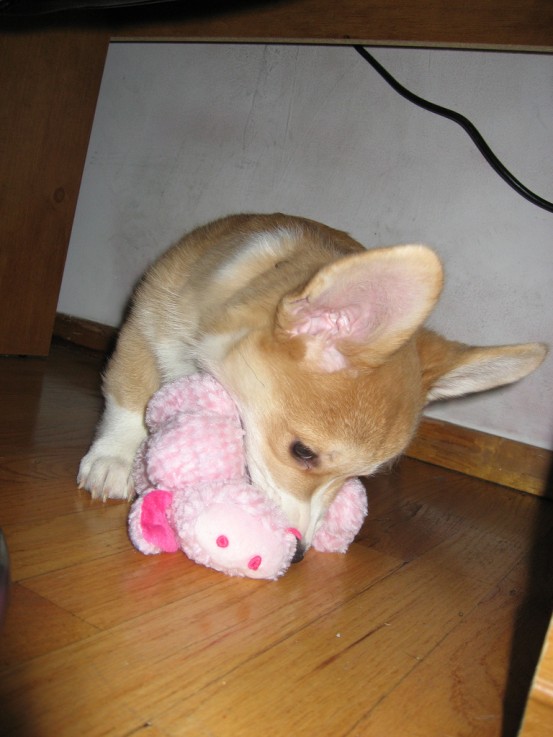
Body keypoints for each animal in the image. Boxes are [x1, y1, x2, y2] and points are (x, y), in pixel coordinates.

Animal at [76, 213, 544, 552]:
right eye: (302, 452)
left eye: (362, 476)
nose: (299, 552)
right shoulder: (144, 326)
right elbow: (129, 397)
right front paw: (114, 459)